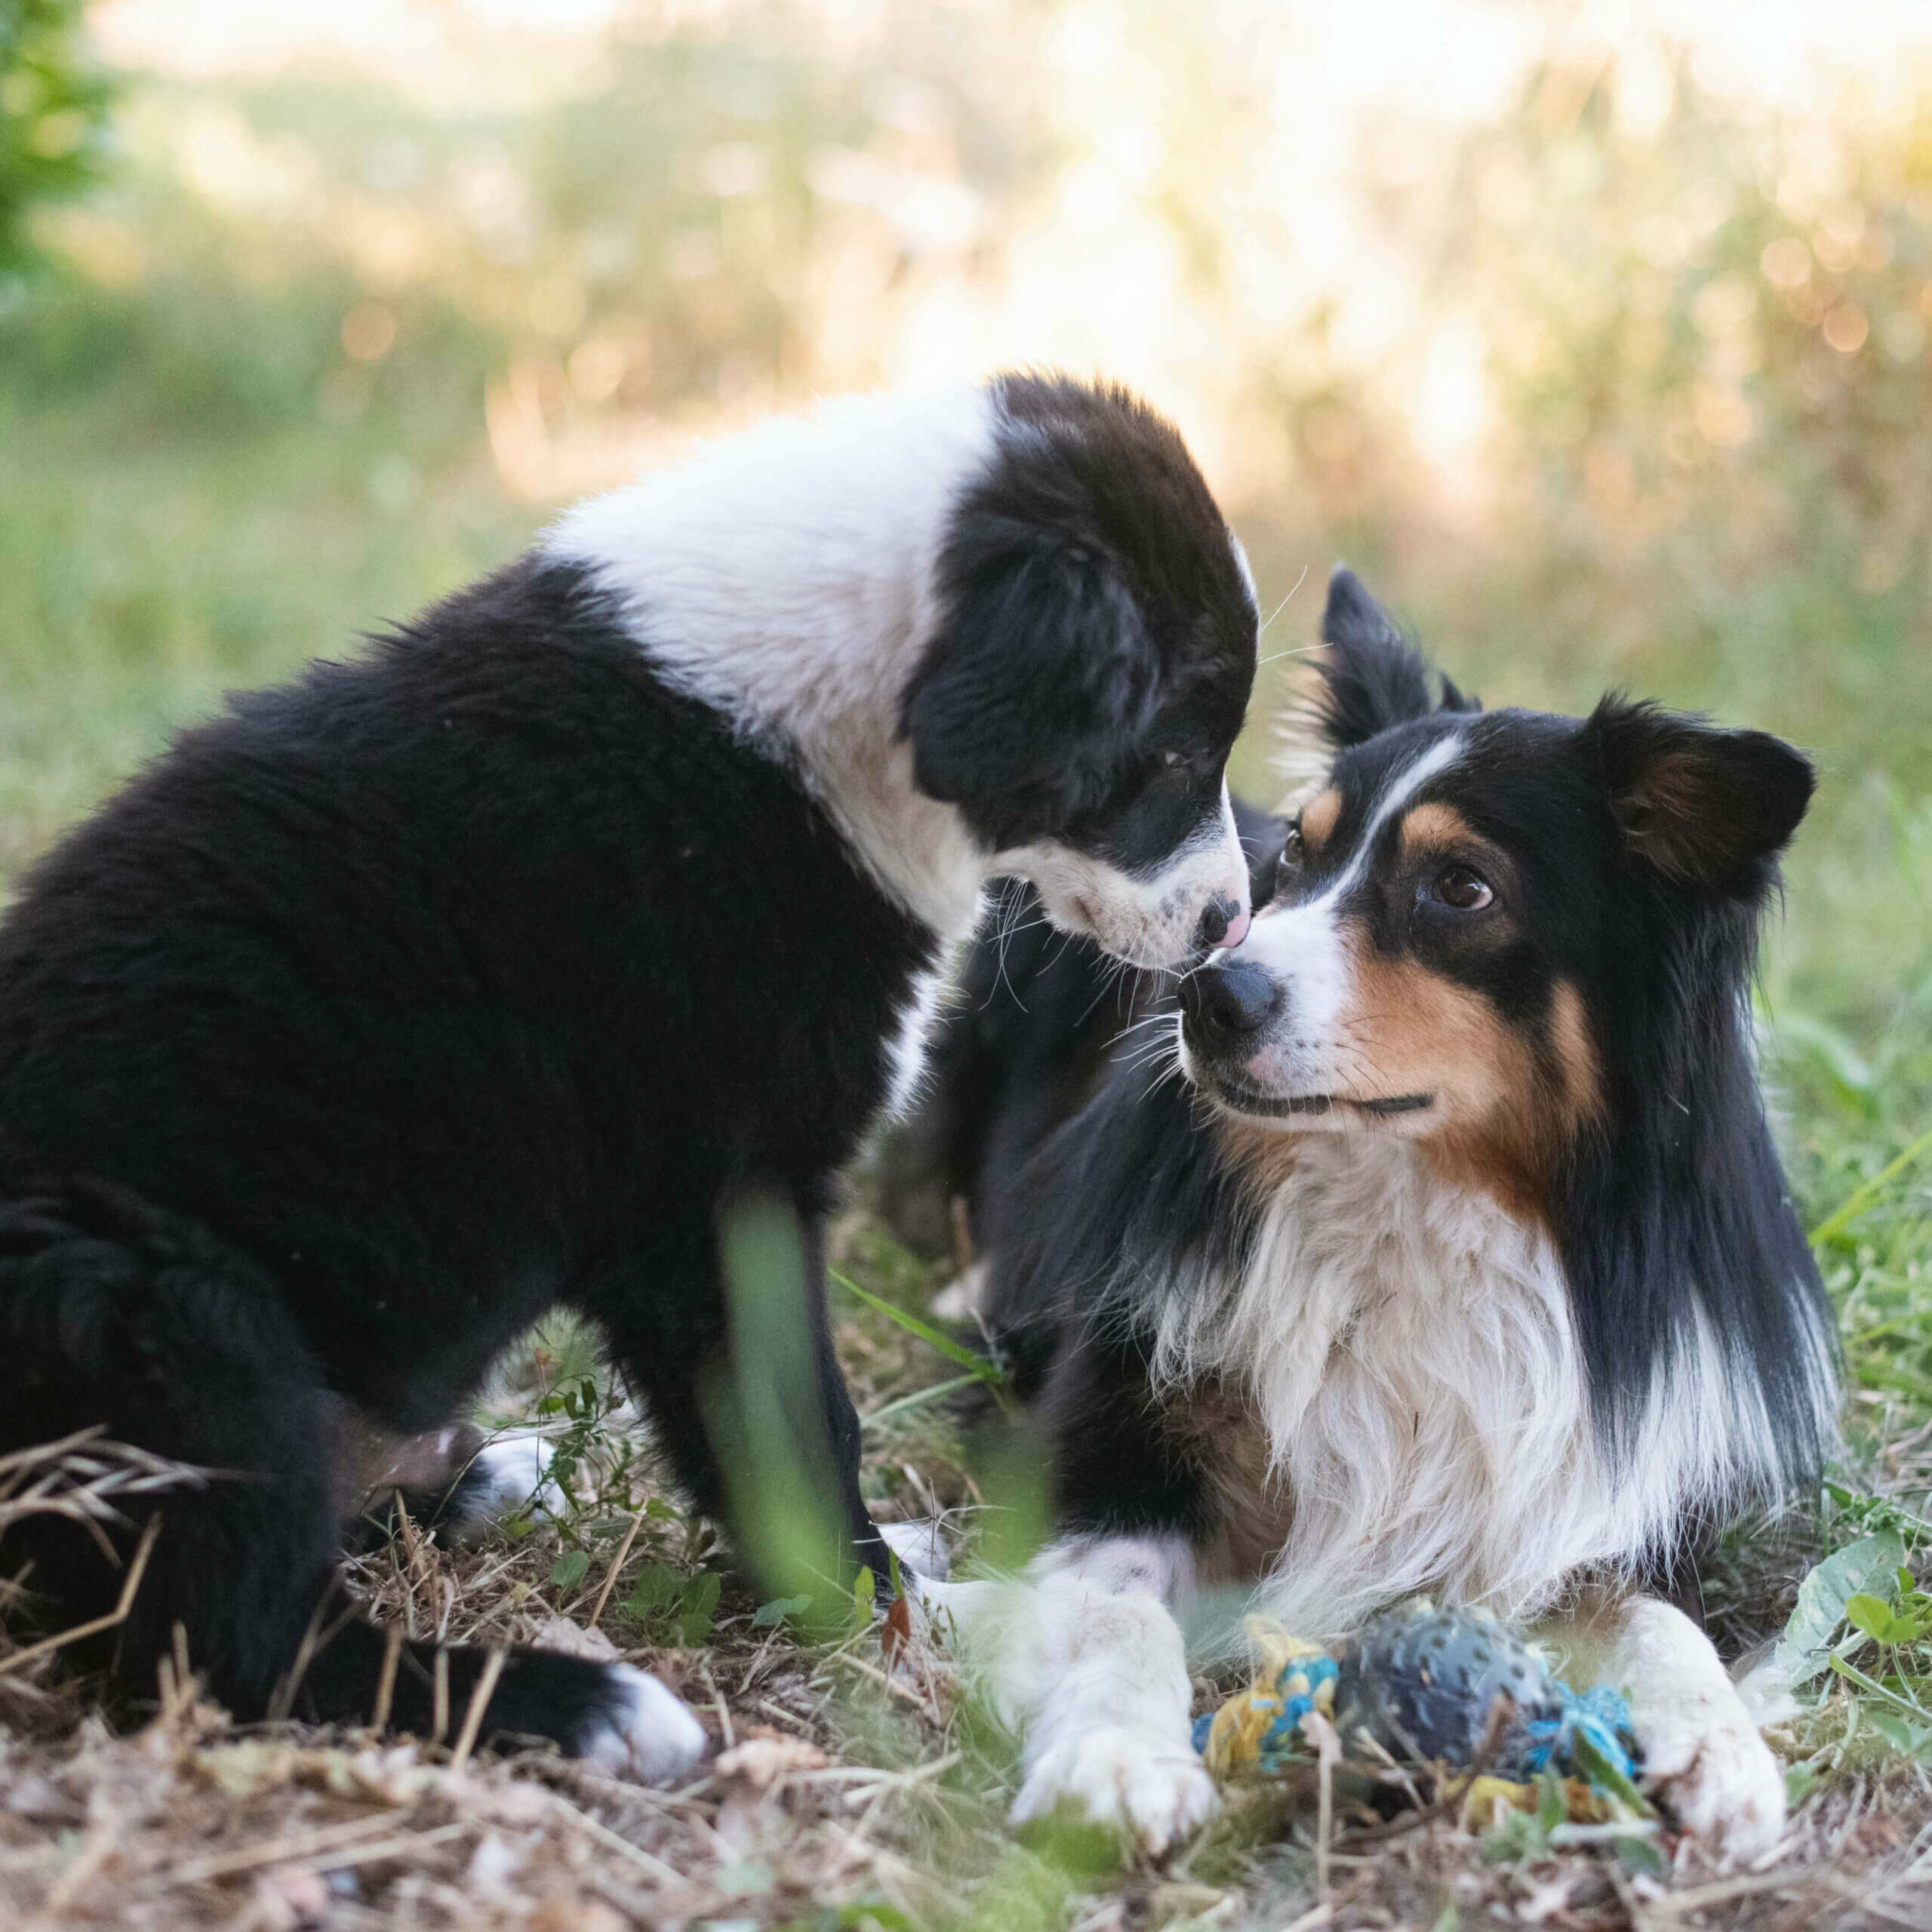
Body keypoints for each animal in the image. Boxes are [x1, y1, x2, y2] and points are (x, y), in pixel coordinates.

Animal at [0, 373, 1251, 1777]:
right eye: (1168, 755)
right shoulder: (714, 1209)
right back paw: (581, 1701)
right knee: (238, 1641)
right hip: (153, 1301)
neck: (826, 712)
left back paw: (499, 1479)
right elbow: (791, 1425)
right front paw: (902, 1605)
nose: (1229, 928)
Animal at [912, 564, 1831, 1862]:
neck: (1409, 1197)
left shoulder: (1590, 1486)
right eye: (1296, 858)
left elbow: (1662, 1618)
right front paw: (1115, 1754)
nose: (1206, 997)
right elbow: (1113, 1611)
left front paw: (1720, 1744)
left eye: (1462, 887)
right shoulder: (1114, 1438)